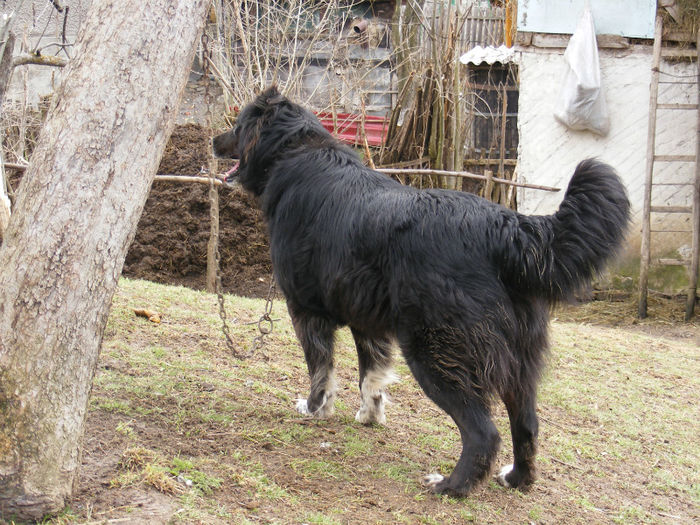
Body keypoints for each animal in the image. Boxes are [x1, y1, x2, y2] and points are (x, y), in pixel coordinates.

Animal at [212, 86, 628, 496]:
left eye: (237, 125)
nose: (214, 140)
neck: (296, 151)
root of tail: (504, 227)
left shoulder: (306, 310)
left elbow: (321, 371)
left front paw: (315, 409)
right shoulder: (367, 320)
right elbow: (371, 376)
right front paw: (369, 416)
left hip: (437, 351)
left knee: (484, 432)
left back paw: (451, 486)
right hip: (519, 364)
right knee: (526, 424)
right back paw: (516, 479)